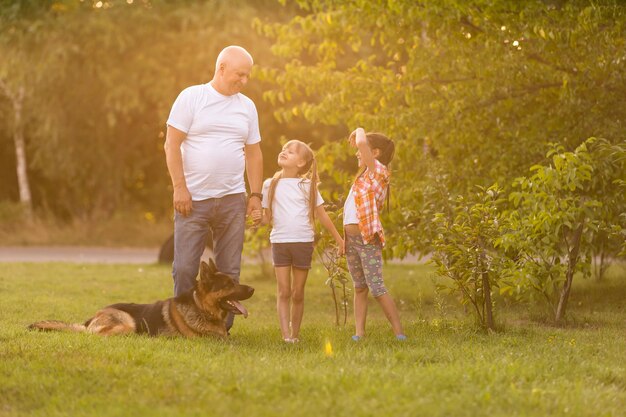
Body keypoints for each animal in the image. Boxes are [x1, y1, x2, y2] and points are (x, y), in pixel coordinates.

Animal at [29, 258, 254, 336]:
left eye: (234, 282)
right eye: (229, 285)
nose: (252, 289)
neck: (201, 308)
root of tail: (92, 318)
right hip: (128, 323)